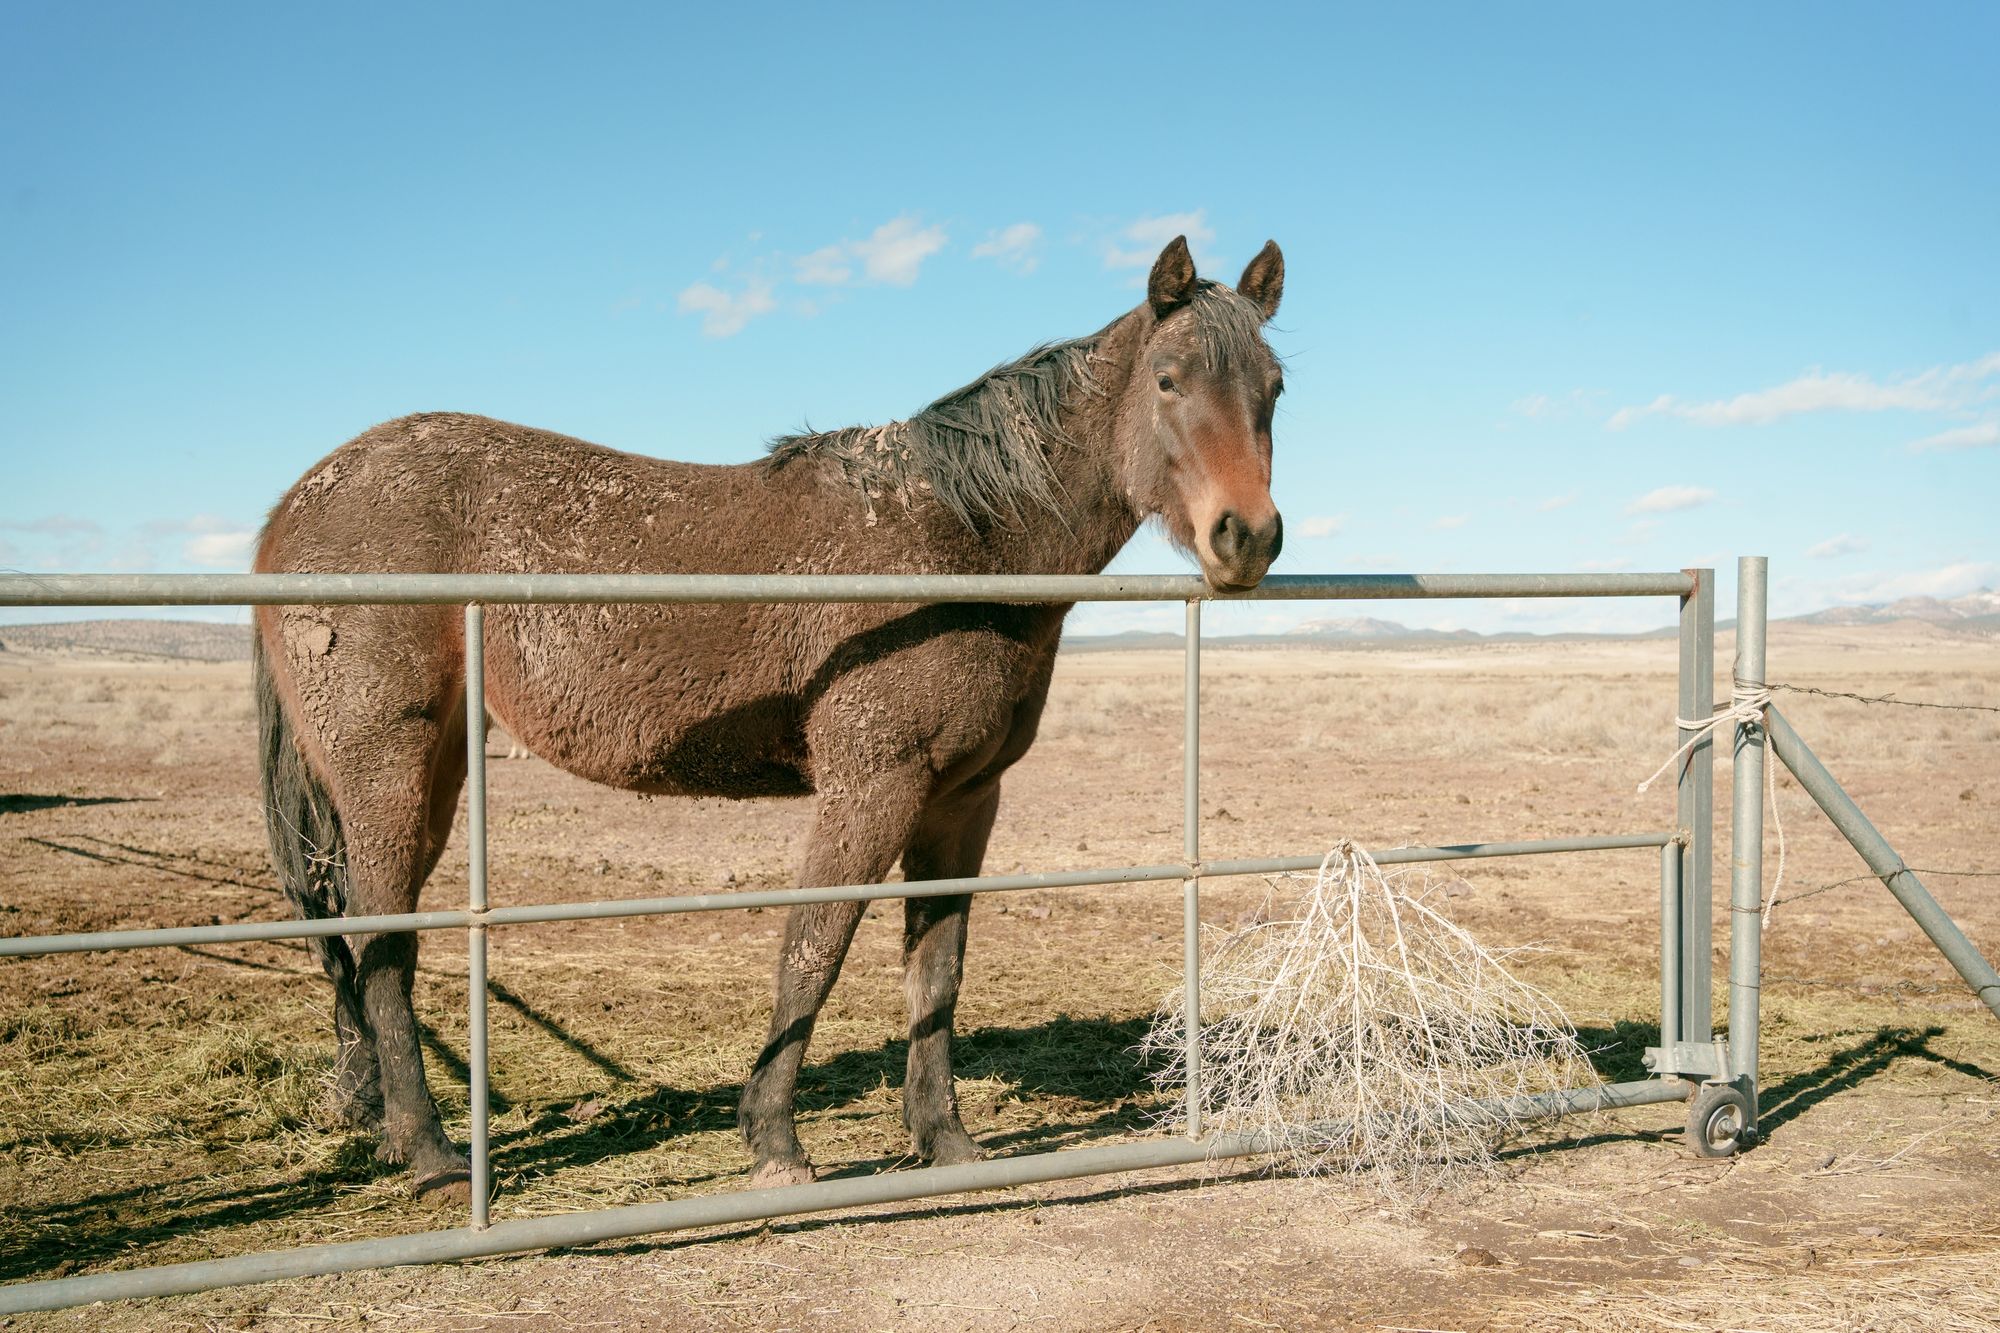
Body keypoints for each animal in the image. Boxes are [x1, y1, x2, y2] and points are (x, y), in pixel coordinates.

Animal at [253, 235, 1287, 1197]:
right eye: (1168, 379)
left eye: (1275, 387)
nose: (1247, 536)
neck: (959, 545)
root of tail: (290, 507)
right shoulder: (872, 787)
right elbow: (813, 946)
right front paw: (776, 1141)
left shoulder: (962, 799)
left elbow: (936, 968)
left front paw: (944, 1139)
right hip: (388, 767)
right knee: (381, 936)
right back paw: (433, 1153)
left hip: (429, 773)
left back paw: (388, 1126)